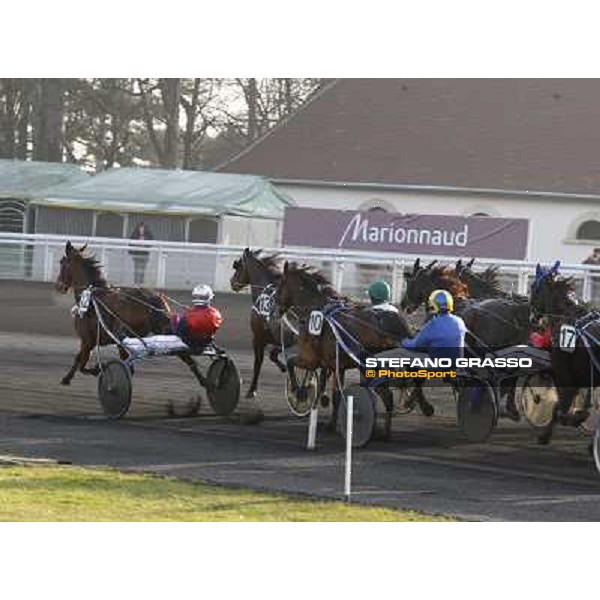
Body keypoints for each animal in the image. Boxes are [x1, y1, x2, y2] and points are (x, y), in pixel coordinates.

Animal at [54, 241, 200, 386]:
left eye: (62, 262)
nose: (58, 286)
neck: (92, 298)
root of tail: (156, 298)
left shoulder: (87, 340)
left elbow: (82, 364)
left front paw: (96, 370)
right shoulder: (91, 341)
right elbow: (79, 360)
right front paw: (68, 378)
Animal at [230, 248, 290, 398]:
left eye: (238, 266)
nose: (232, 282)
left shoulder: (258, 337)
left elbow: (258, 362)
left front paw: (252, 390)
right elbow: (273, 355)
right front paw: (284, 367)